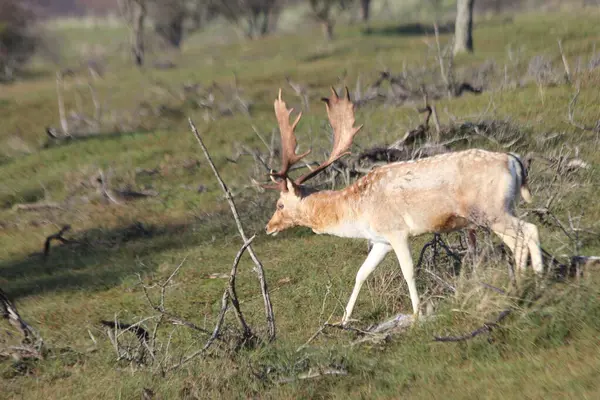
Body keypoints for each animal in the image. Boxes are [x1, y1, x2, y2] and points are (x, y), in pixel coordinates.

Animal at [262, 86, 544, 324]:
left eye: (279, 205)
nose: (268, 227)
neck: (358, 212)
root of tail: (513, 160)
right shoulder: (380, 240)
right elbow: (361, 273)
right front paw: (343, 319)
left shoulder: (396, 231)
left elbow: (408, 271)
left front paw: (417, 314)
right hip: (504, 209)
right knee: (522, 237)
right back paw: (530, 281)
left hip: (492, 211)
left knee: (528, 231)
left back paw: (527, 284)